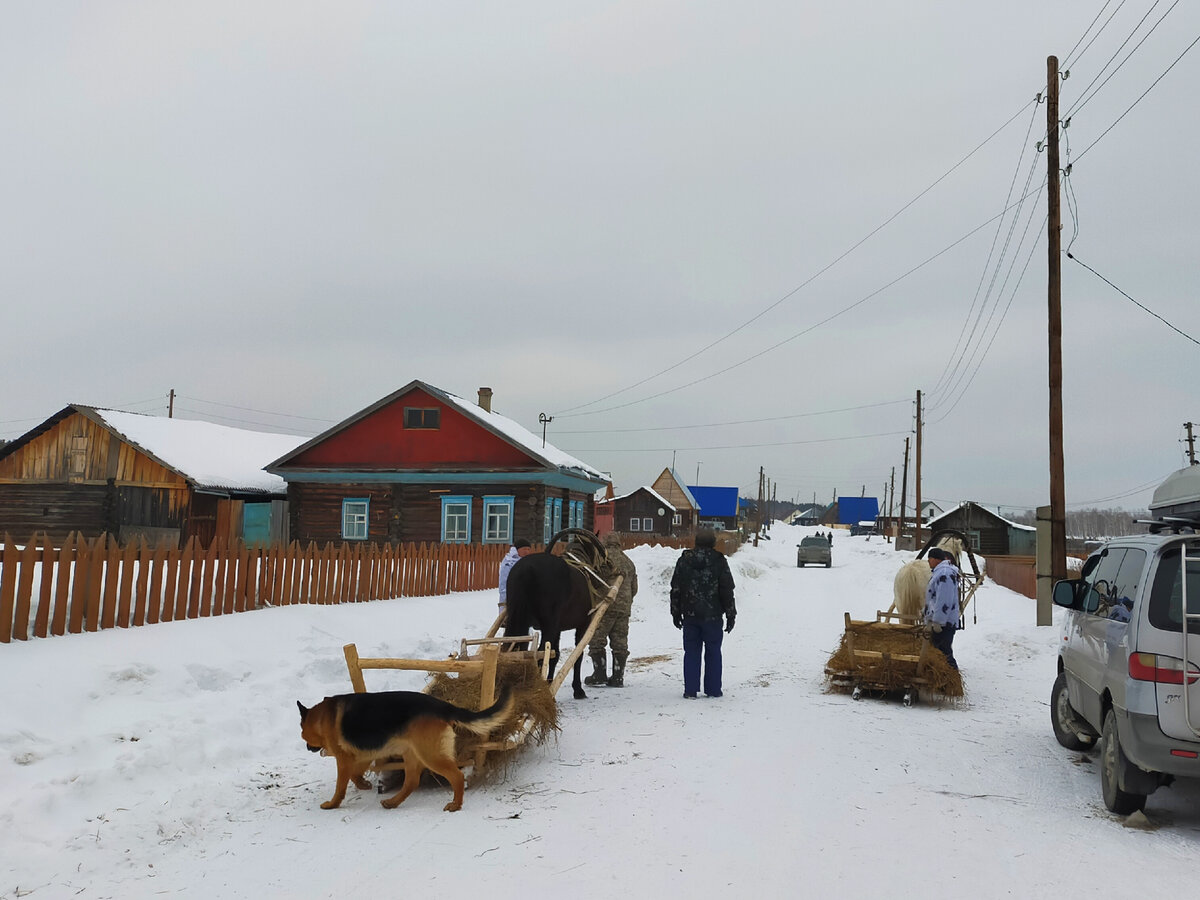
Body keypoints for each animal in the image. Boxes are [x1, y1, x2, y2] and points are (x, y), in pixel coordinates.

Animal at [297, 696, 513, 816]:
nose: (307, 747)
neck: (321, 716)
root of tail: (442, 706)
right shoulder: (361, 755)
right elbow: (355, 774)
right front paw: (364, 785)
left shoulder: (344, 760)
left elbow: (341, 784)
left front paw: (333, 804)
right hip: (412, 754)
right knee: (411, 783)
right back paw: (393, 802)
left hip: (430, 755)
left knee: (457, 776)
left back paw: (456, 805)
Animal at [499, 528, 604, 705]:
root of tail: (526, 569)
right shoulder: (582, 624)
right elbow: (577, 654)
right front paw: (577, 689)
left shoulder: (557, 628)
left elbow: (555, 654)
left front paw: (549, 683)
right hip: (548, 624)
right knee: (540, 653)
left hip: (520, 621)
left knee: (515, 650)